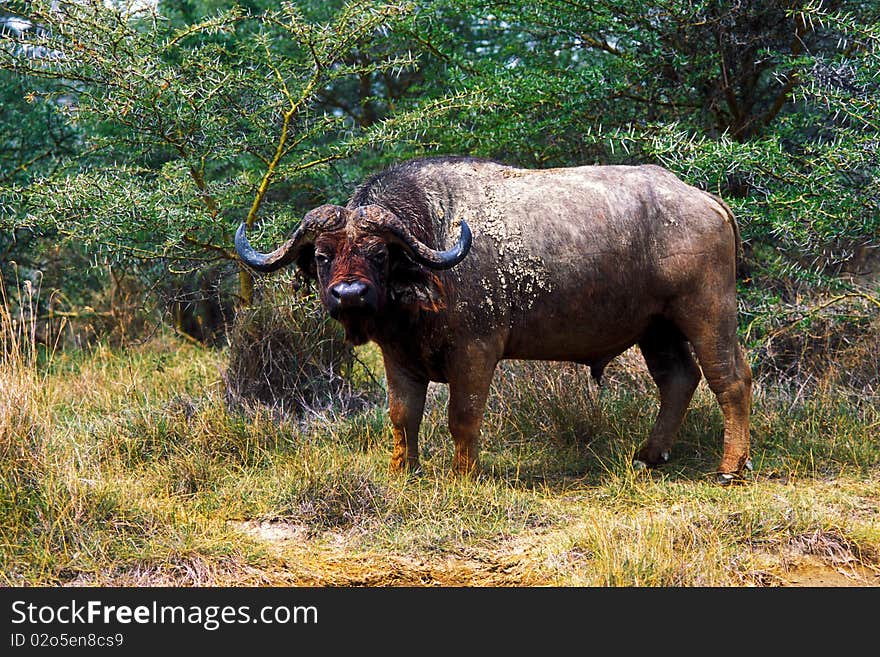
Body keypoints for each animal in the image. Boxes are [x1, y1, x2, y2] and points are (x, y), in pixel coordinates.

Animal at [237, 156, 752, 480]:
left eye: (379, 254)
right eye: (323, 256)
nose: (349, 295)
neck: (434, 239)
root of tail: (706, 201)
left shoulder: (475, 352)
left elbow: (462, 416)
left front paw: (463, 474)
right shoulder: (398, 357)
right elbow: (403, 416)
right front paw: (404, 470)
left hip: (707, 311)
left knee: (730, 379)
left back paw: (730, 467)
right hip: (656, 328)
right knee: (678, 379)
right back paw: (649, 456)